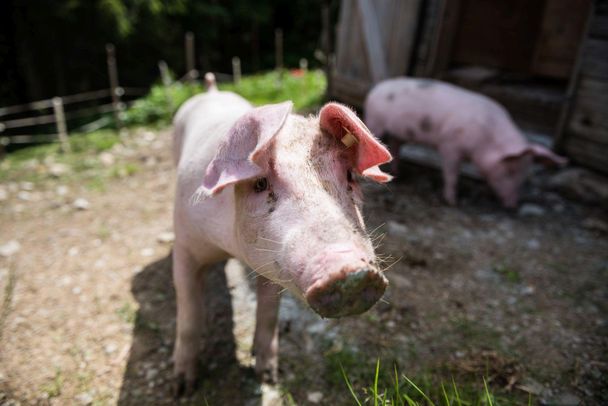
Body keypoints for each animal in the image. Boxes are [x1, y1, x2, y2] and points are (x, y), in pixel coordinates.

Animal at [170, 73, 394, 396]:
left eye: (349, 176)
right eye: (260, 183)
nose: (350, 270)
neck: (228, 247)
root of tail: (211, 90)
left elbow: (268, 313)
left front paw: (269, 377)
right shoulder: (185, 244)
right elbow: (189, 312)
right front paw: (182, 389)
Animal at [364, 77, 568, 208]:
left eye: (525, 175)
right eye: (510, 171)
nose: (512, 206)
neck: (487, 139)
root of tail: (376, 88)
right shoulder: (450, 145)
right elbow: (452, 173)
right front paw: (452, 202)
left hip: (398, 132)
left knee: (396, 146)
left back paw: (397, 173)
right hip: (375, 120)